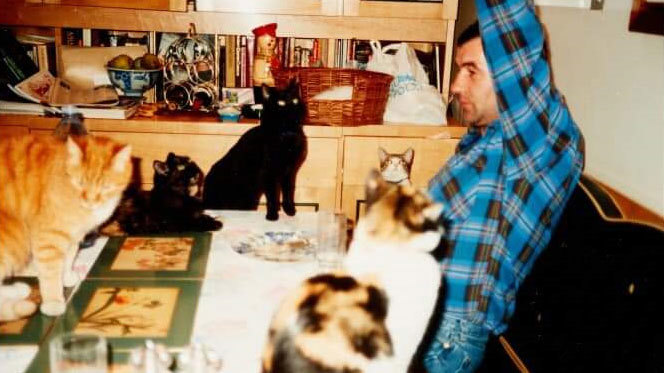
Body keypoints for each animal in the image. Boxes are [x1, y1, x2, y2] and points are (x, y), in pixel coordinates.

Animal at [0, 132, 131, 316]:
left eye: (105, 187)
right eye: (81, 183)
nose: (90, 201)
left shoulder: (72, 235)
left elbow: (68, 259)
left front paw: (67, 277)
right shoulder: (49, 238)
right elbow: (51, 274)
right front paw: (53, 302)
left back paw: (19, 290)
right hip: (15, 238)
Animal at [204, 77, 308, 218]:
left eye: (295, 101)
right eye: (280, 103)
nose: (292, 108)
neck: (287, 134)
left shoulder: (289, 171)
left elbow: (287, 193)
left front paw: (289, 210)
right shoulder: (267, 172)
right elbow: (272, 196)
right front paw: (272, 215)